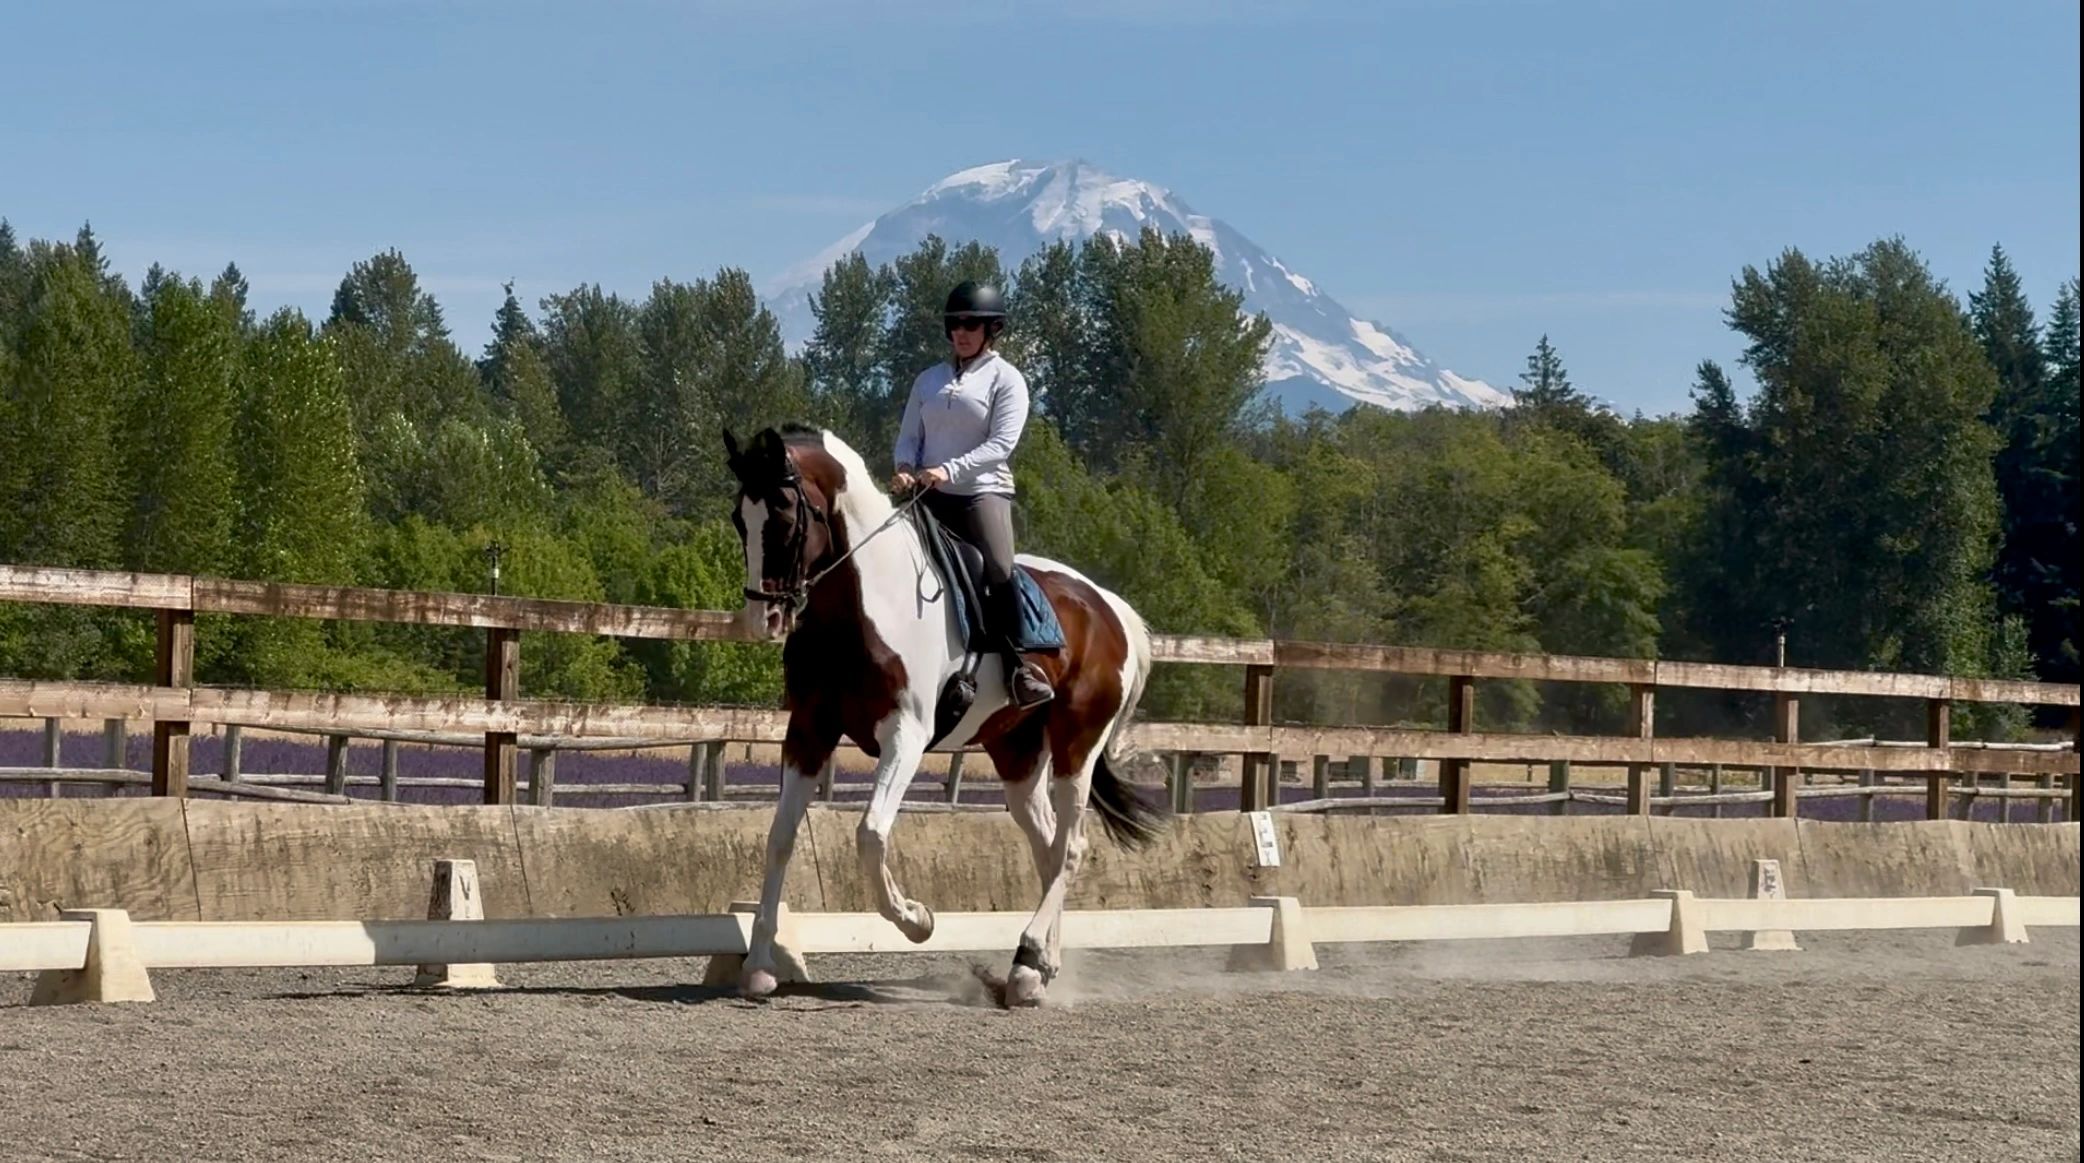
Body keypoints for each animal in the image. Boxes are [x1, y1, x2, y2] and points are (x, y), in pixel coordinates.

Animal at [721, 422, 1168, 1006]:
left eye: (785, 514)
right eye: (739, 518)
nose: (764, 620)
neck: (863, 602)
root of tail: (1109, 606)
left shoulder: (905, 736)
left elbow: (870, 834)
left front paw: (917, 920)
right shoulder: (809, 730)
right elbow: (780, 839)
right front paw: (758, 966)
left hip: (1077, 744)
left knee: (1071, 845)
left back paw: (1028, 961)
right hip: (1017, 753)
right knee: (1048, 846)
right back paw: (1039, 967)